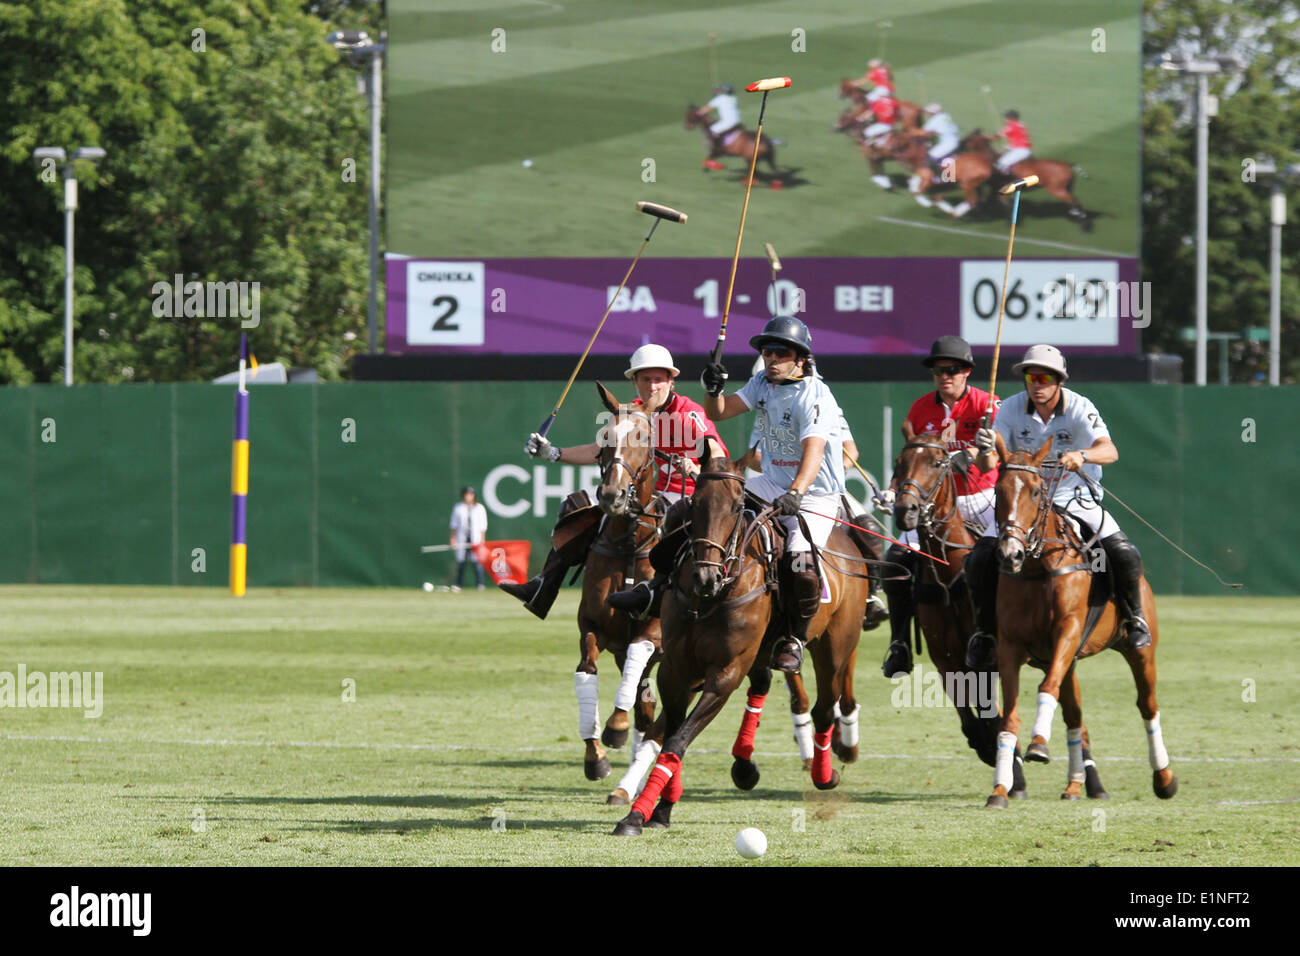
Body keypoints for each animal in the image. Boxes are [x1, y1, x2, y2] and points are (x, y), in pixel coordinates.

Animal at [613, 452, 868, 832]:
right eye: (695, 503)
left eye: (736, 506)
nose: (705, 577)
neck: (712, 596)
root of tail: (846, 540)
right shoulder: (675, 669)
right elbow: (671, 735)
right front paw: (656, 811)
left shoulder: (725, 672)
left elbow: (677, 740)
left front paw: (640, 814)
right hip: (761, 651)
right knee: (762, 684)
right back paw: (745, 766)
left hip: (834, 647)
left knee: (824, 707)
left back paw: (824, 776)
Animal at [982, 439, 1180, 806]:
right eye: (998, 491)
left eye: (1035, 491)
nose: (1010, 554)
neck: (1039, 567)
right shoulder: (1010, 647)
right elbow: (1010, 718)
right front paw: (1000, 789)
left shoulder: (1068, 631)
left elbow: (1046, 689)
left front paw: (1038, 746)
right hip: (1066, 660)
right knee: (1074, 713)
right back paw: (1074, 784)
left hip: (1139, 652)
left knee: (1147, 705)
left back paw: (1164, 779)